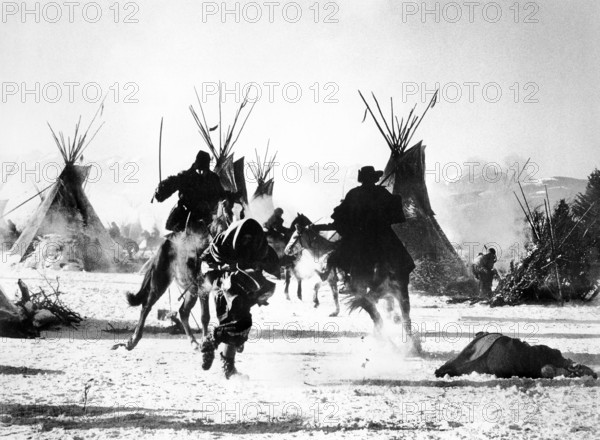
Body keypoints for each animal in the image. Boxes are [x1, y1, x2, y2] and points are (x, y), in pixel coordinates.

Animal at [112, 201, 237, 352]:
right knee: (146, 306)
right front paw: (205, 342)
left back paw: (193, 342)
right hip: (160, 283)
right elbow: (205, 316)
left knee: (183, 311)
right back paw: (133, 340)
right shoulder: (203, 289)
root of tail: (164, 244)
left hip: (191, 291)